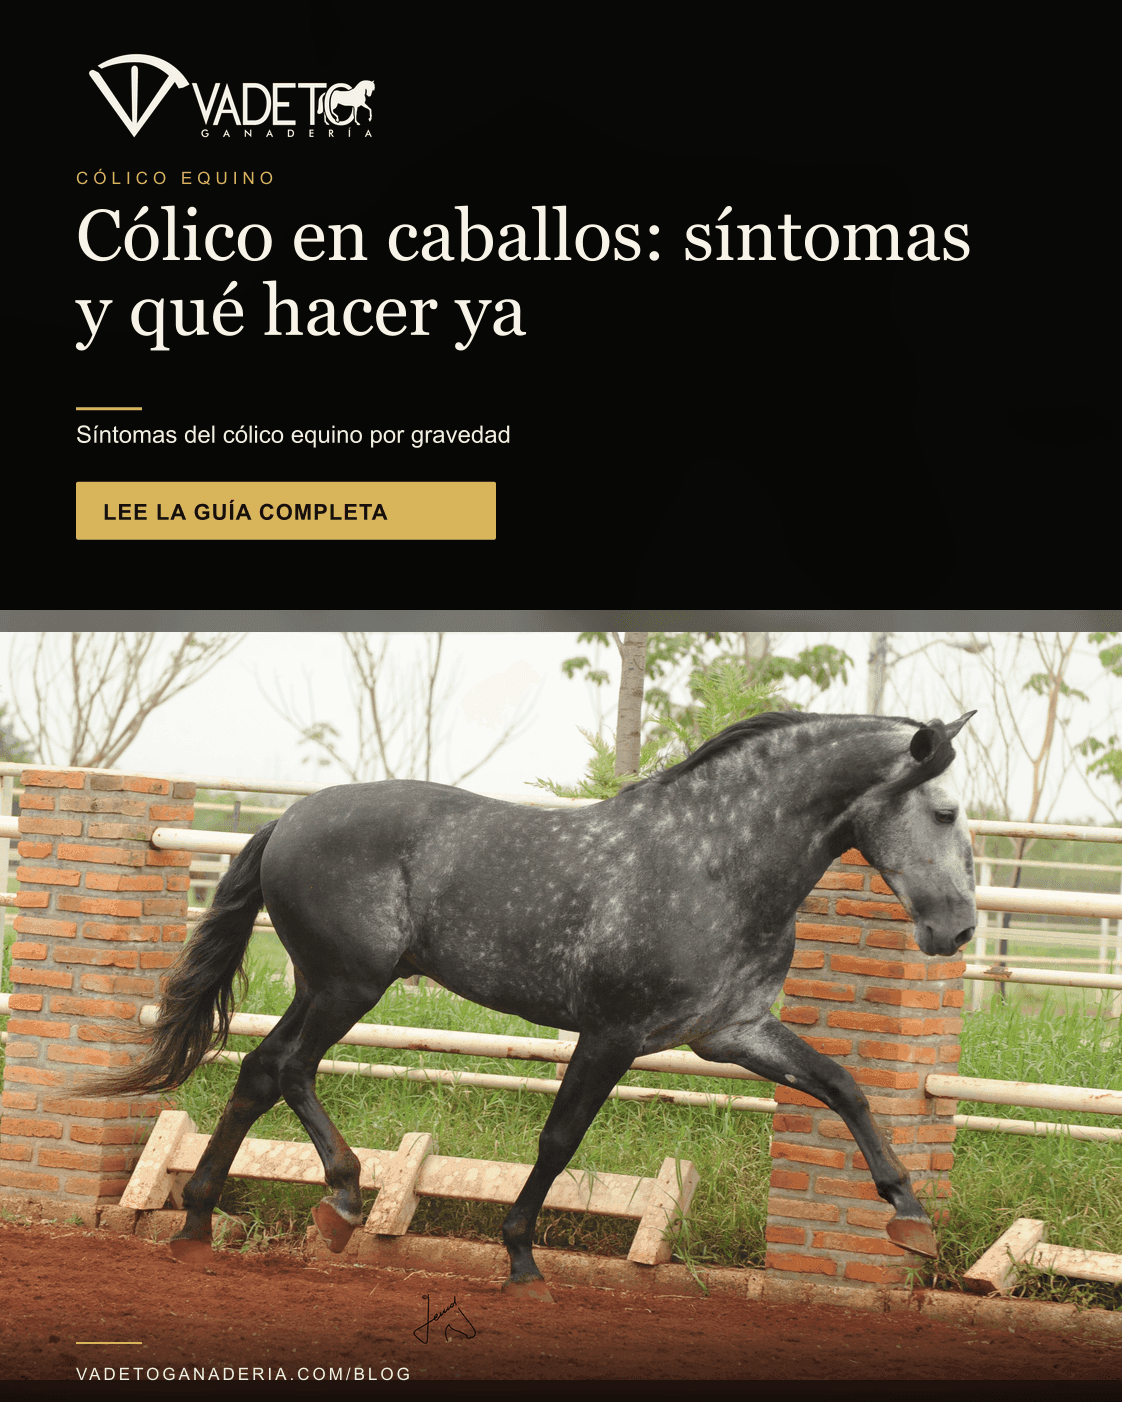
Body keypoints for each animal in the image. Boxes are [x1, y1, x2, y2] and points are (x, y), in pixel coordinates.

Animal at [82, 709, 977, 1298]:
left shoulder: (733, 1032)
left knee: (261, 1073)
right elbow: (558, 1141)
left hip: (323, 984)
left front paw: (909, 1216)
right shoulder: (613, 1032)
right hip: (347, 984)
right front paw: (521, 1263)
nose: (958, 928)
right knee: (291, 1068)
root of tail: (289, 818)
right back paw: (339, 1199)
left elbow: (843, 1087)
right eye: (945, 811)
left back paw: (199, 1228)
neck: (712, 862)